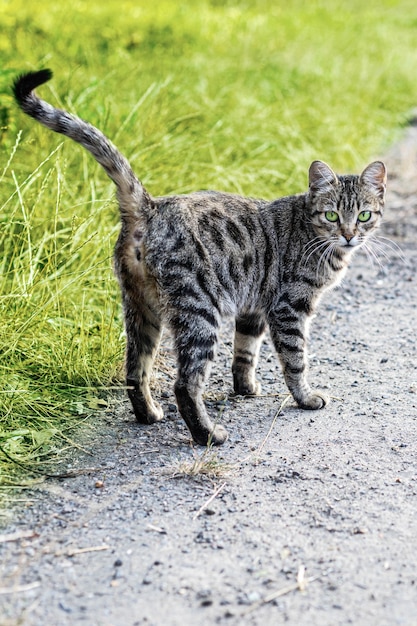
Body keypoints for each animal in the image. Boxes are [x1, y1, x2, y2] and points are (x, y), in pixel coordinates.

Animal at [12, 69, 386, 444]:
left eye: (364, 215)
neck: (313, 236)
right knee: (184, 384)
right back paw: (208, 433)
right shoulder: (288, 307)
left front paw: (245, 387)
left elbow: (245, 351)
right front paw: (305, 397)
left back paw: (148, 414)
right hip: (200, 311)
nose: (349, 235)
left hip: (141, 309)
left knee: (135, 370)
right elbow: (295, 359)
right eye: (332, 216)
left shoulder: (254, 306)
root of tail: (151, 207)